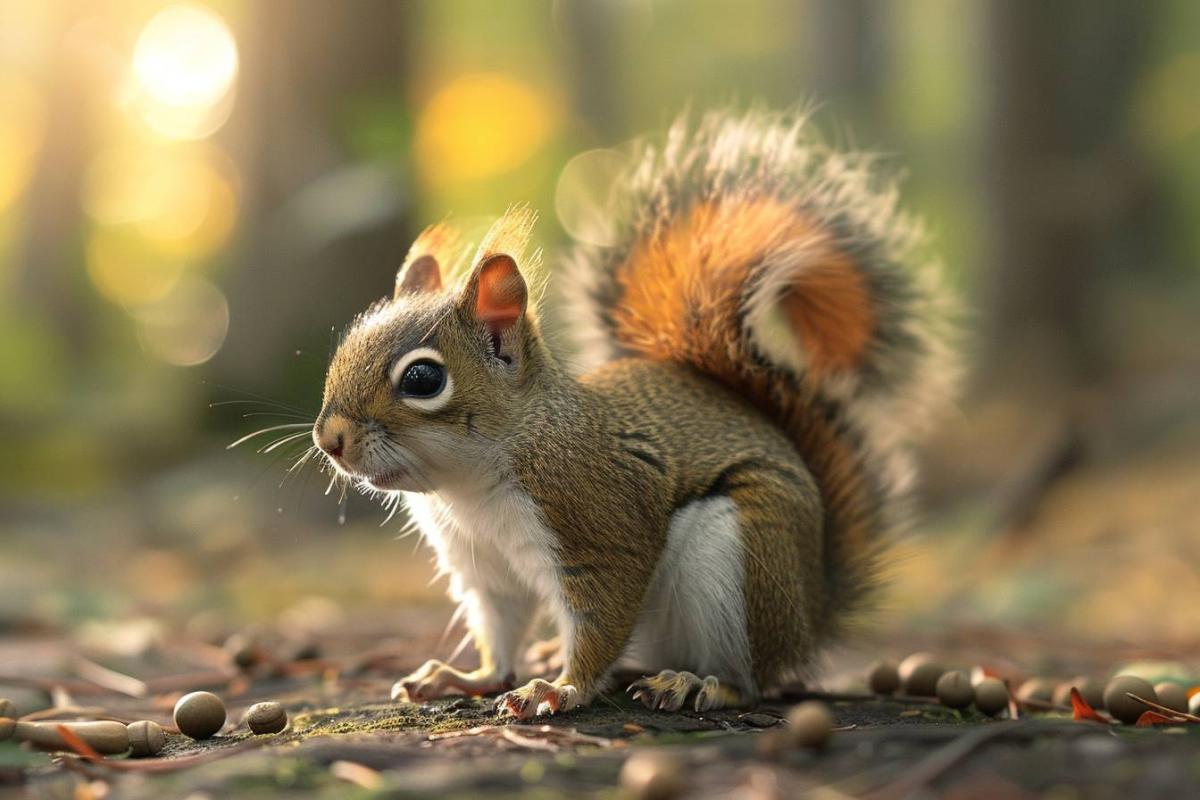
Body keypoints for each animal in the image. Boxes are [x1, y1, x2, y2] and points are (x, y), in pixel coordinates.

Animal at [312, 109, 955, 718]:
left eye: (423, 379)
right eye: (342, 352)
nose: (329, 439)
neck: (469, 486)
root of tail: (812, 612)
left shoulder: (597, 524)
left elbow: (602, 616)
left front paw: (561, 689)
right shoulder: (485, 568)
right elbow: (500, 630)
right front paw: (467, 676)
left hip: (740, 554)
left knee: (751, 678)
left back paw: (696, 684)